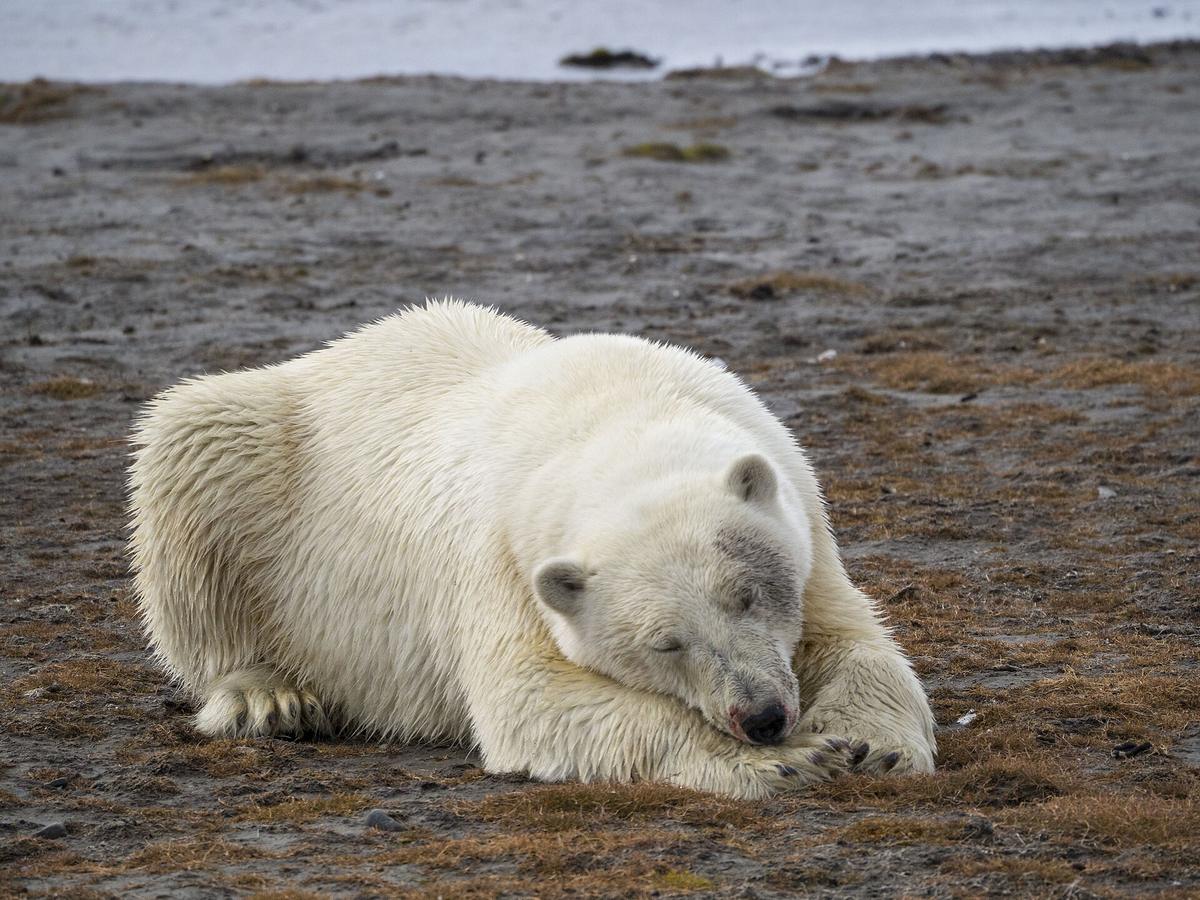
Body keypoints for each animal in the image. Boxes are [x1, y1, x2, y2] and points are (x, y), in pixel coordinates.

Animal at [128, 300, 935, 799]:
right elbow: (532, 699)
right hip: (257, 457)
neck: (612, 415)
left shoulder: (797, 497)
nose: (762, 716)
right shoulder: (499, 560)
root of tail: (329, 353)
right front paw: (792, 762)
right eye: (666, 644)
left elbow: (852, 637)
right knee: (190, 447)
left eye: (747, 594)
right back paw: (269, 697)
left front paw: (876, 745)